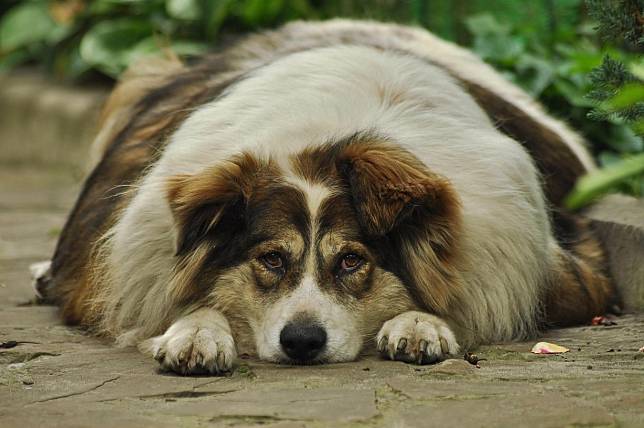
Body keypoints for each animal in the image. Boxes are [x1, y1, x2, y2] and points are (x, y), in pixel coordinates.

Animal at [35, 20, 620, 374]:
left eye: (352, 261)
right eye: (271, 259)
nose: (301, 343)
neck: (331, 139)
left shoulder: (568, 276)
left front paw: (421, 322)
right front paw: (196, 333)